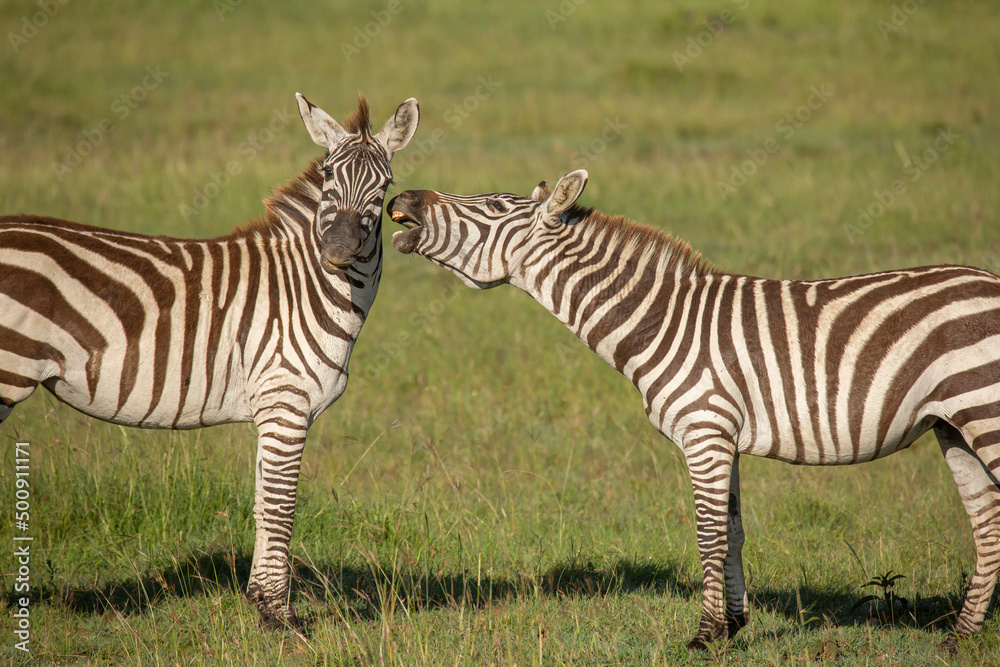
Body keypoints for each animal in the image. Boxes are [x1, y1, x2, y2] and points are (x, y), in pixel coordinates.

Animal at [0, 93, 418, 627]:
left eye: (384, 186)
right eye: (327, 175)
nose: (339, 251)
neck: (310, 286)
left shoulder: (275, 410)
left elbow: (263, 504)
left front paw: (260, 602)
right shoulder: (286, 401)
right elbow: (281, 507)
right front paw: (279, 618)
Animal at [388, 170, 1000, 651]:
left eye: (493, 206)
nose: (404, 197)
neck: (661, 320)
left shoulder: (704, 431)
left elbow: (708, 533)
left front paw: (704, 636)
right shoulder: (723, 437)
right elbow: (732, 530)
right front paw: (734, 626)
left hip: (983, 410)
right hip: (952, 425)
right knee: (986, 517)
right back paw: (961, 636)